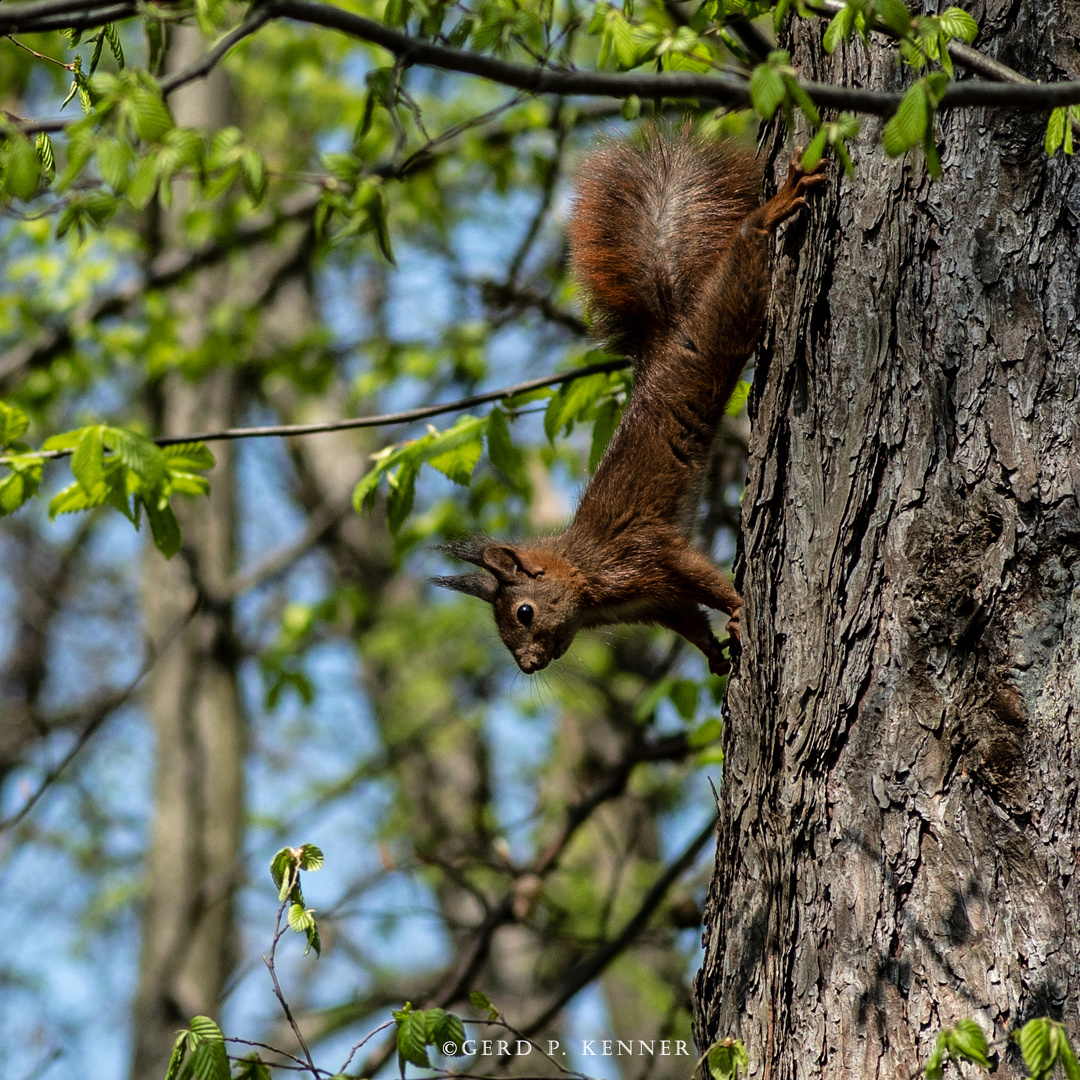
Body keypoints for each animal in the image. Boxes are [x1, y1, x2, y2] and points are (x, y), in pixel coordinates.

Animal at [434, 126, 820, 673]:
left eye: (524, 612)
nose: (528, 665)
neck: (587, 577)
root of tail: (664, 340)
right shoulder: (656, 601)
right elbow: (688, 618)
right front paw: (715, 654)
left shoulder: (646, 554)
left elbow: (702, 575)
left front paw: (738, 608)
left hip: (721, 325)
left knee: (743, 254)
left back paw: (774, 209)